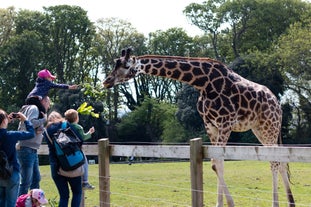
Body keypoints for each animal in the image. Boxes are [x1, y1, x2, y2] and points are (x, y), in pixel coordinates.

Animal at [103, 48, 296, 207]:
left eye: (126, 65)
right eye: (115, 62)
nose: (106, 81)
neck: (202, 82)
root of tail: (277, 102)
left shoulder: (225, 123)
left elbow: (216, 163)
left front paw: (230, 203)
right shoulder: (211, 125)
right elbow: (218, 163)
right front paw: (220, 204)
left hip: (270, 126)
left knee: (275, 161)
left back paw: (276, 204)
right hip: (260, 129)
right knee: (279, 159)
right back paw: (290, 202)